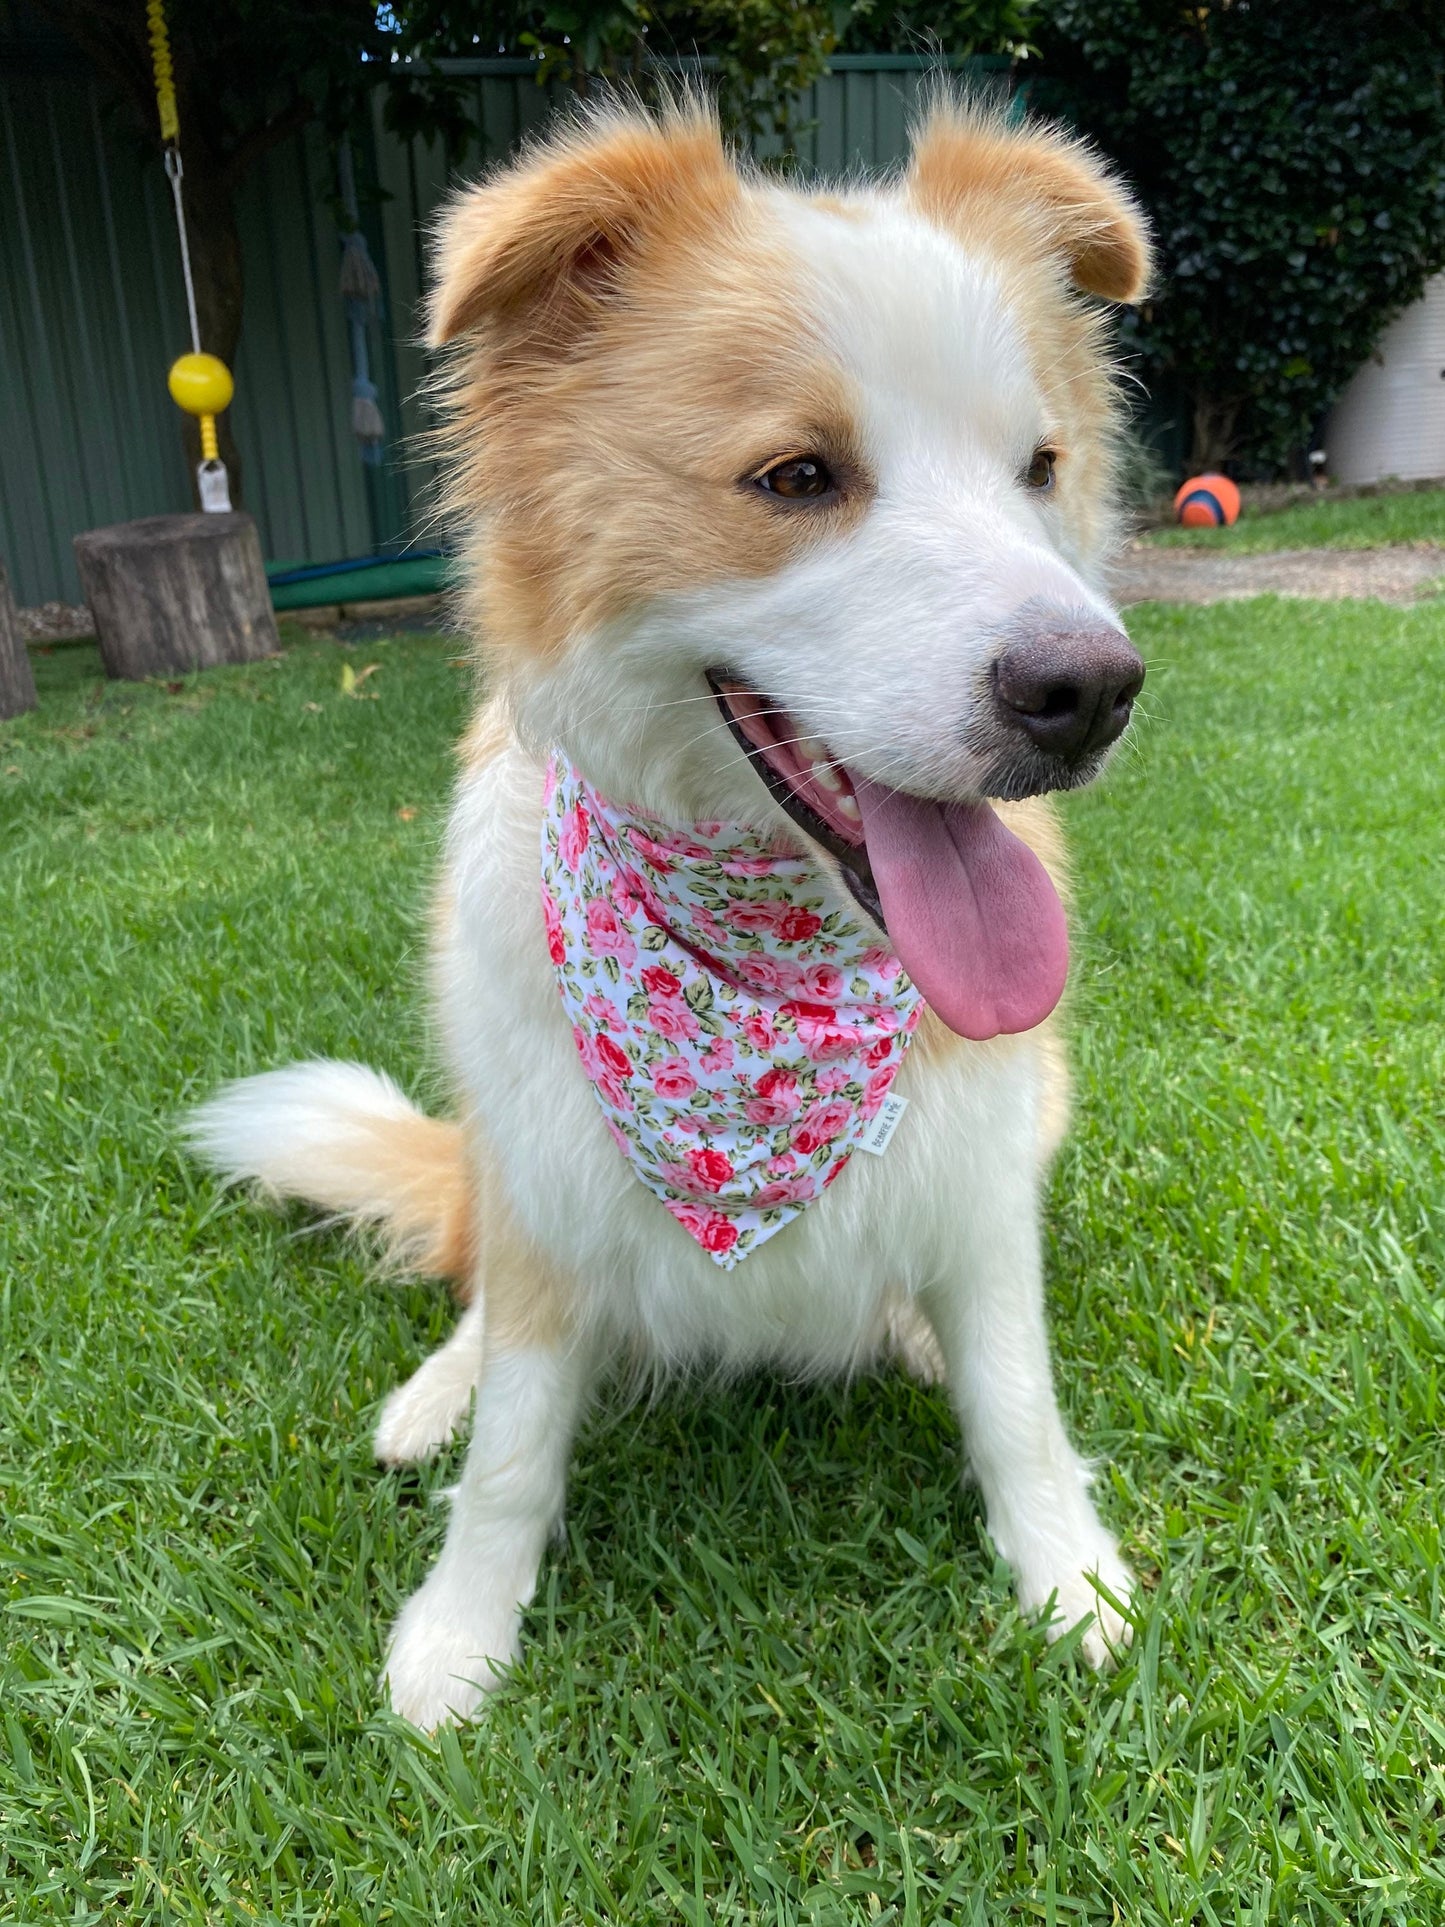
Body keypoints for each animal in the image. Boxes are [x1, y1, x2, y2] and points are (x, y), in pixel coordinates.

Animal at [192, 101, 1163, 1734]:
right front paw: (461, 1634)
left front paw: (1066, 1578)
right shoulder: (552, 1171)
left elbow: (1016, 1398)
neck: (755, 970)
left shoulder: (980, 1171)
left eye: (1040, 465)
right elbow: (515, 1446)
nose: (1088, 692)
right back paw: (431, 1394)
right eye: (795, 476)